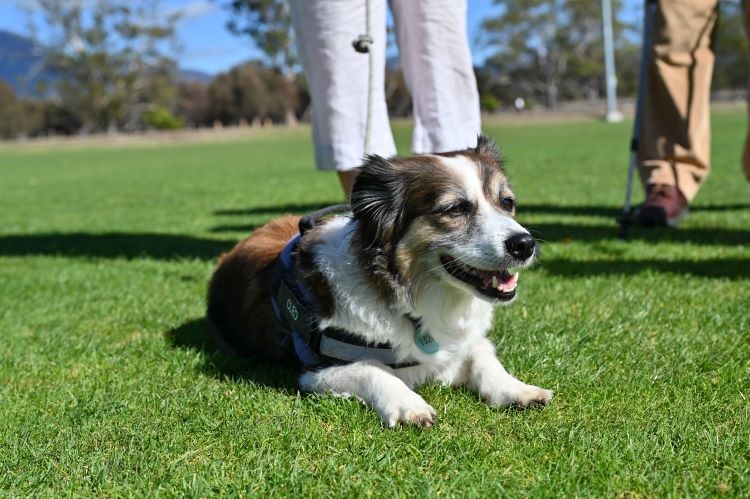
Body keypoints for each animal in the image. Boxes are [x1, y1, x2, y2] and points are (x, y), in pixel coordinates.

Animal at [209, 137, 556, 430]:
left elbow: (484, 357)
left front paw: (517, 389)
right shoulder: (318, 370)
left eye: (507, 203)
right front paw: (408, 405)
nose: (525, 244)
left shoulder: (462, 343)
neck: (412, 295)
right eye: (455, 209)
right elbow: (373, 370)